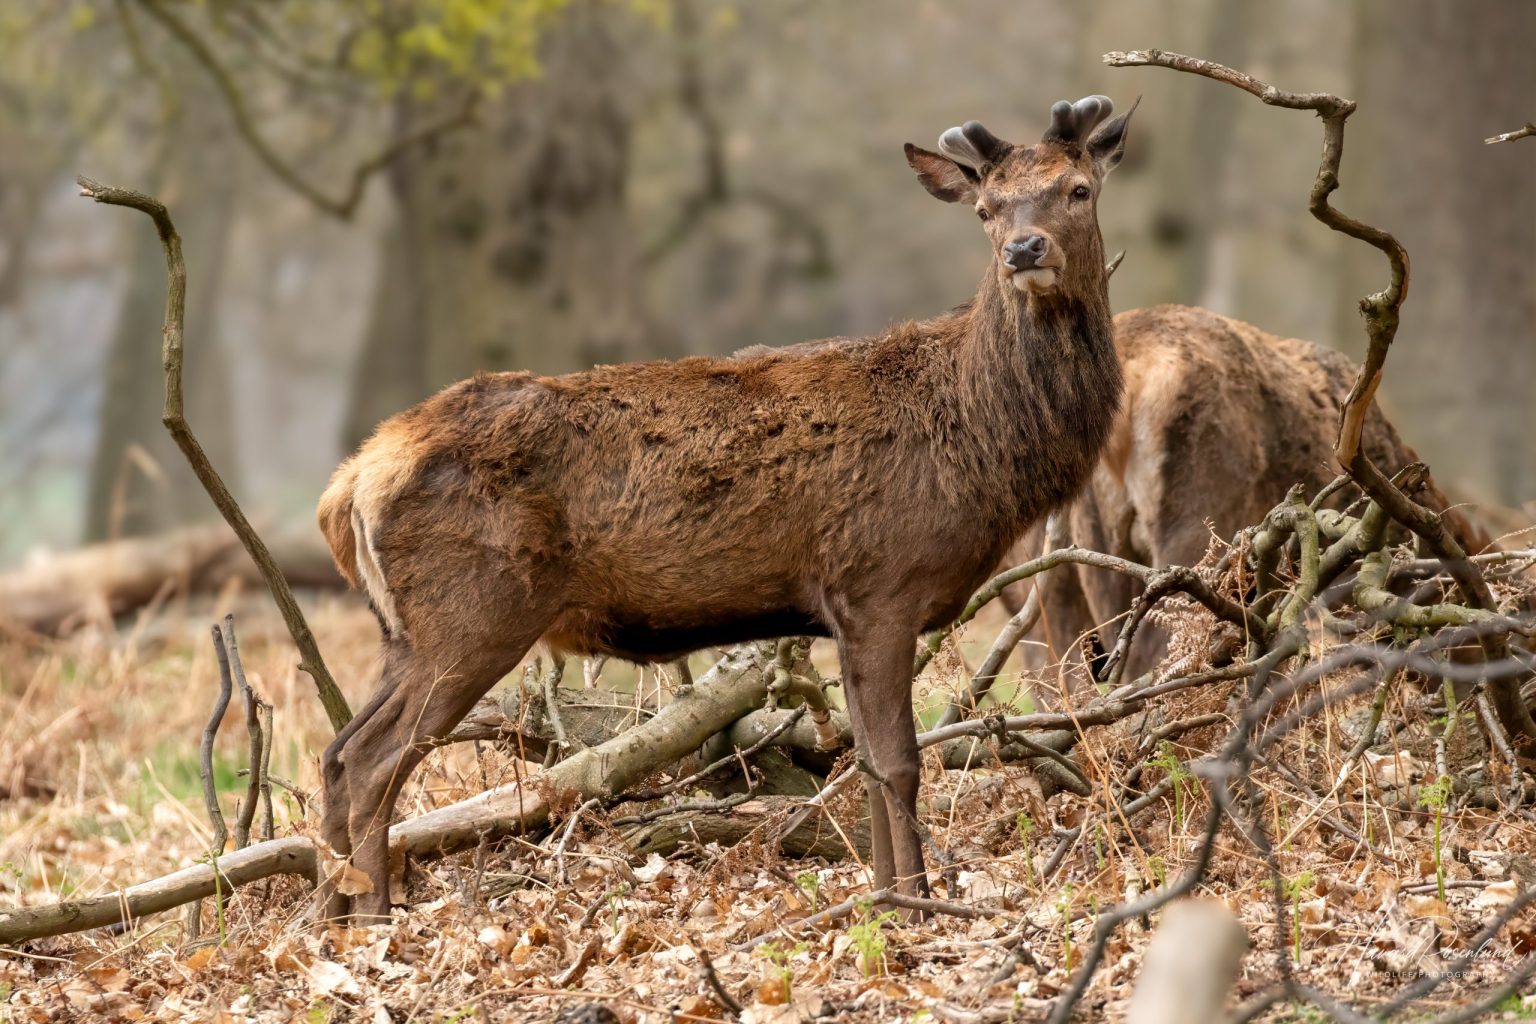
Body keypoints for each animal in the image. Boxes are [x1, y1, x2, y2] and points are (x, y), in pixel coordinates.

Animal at [313, 95, 1135, 920]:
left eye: (1077, 190)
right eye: (986, 208)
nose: (1024, 249)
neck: (975, 440)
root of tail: (350, 482)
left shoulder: (849, 608)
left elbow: (865, 762)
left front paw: (884, 899)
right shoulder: (879, 582)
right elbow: (900, 762)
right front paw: (916, 905)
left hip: (406, 630)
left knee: (337, 754)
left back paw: (335, 917)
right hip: (473, 611)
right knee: (375, 760)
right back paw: (375, 918)